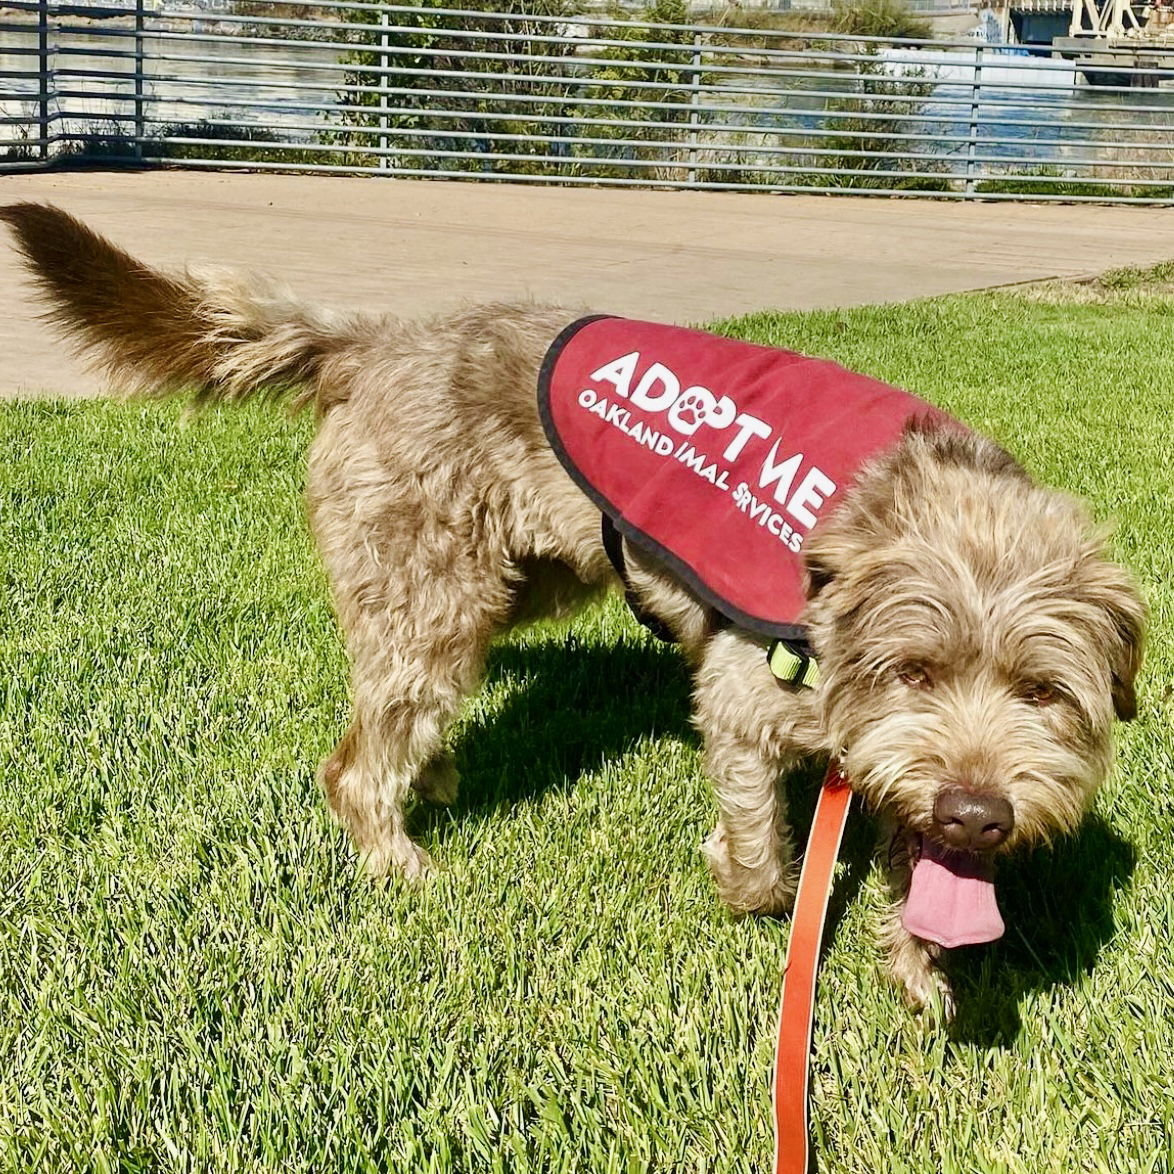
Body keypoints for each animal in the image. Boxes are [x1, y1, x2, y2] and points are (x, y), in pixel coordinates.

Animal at [2, 201, 1145, 1009]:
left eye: (1044, 692)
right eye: (914, 671)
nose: (978, 811)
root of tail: (371, 342)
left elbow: (909, 852)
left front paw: (917, 971)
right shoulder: (746, 691)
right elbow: (767, 861)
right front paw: (741, 876)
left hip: (507, 583)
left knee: (402, 715)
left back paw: (437, 774)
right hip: (431, 592)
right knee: (353, 764)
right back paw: (399, 860)